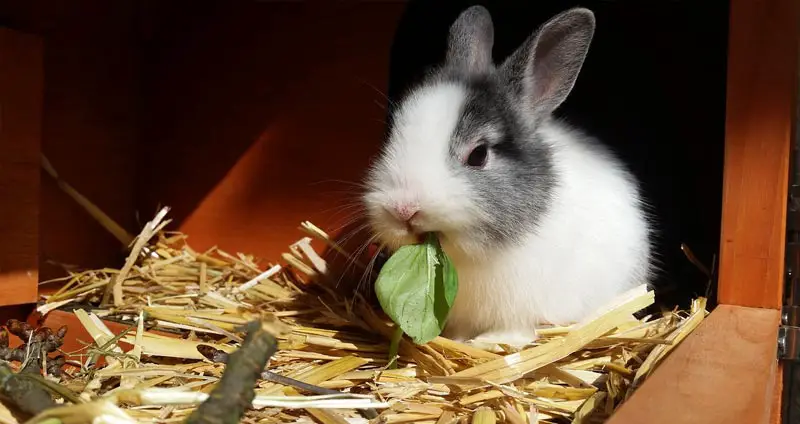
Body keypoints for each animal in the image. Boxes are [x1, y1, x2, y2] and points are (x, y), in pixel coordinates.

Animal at [361, 5, 654, 349]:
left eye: (479, 155)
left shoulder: (522, 310)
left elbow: (515, 332)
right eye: (393, 134)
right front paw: (460, 341)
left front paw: (486, 343)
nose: (403, 210)